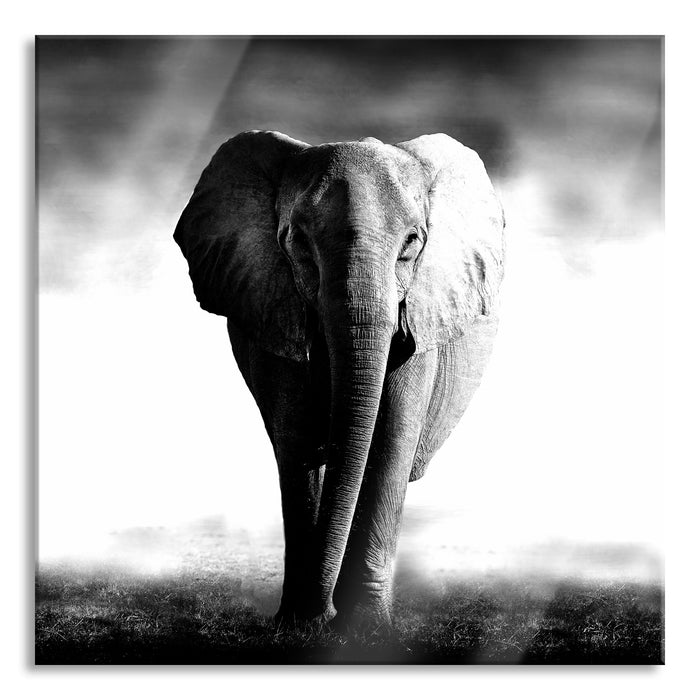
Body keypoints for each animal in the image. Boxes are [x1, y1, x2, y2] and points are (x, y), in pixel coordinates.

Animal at [174, 130, 505, 630]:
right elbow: (296, 440)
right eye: (298, 242)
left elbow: (390, 440)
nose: (324, 614)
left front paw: (364, 630)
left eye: (412, 242)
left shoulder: (420, 315)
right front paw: (300, 624)